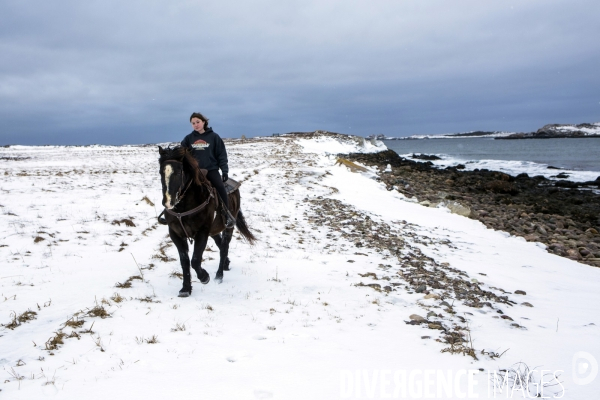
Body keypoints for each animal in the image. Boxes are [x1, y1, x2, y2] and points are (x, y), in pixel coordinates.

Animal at [157, 146, 255, 296]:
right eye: (161, 172)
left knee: (224, 247)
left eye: (179, 172)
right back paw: (226, 265)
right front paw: (186, 288)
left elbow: (195, 260)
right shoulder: (176, 234)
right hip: (213, 230)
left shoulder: (202, 232)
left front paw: (204, 277)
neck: (184, 206)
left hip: (228, 227)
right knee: (220, 244)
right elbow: (184, 261)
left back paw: (219, 275)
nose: (168, 202)